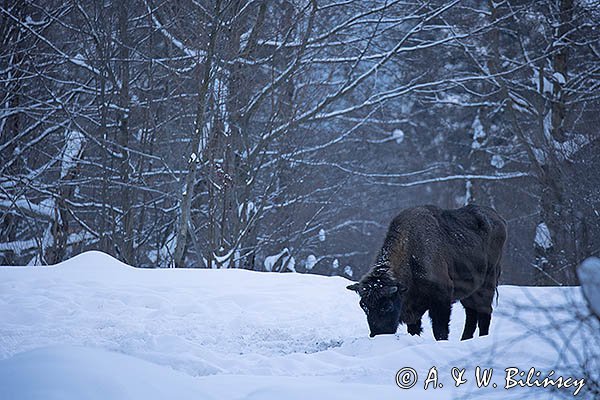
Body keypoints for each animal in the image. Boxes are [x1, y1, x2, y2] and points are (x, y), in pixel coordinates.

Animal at [346, 206, 506, 340]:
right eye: (363, 306)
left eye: (387, 306)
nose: (377, 334)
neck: (411, 256)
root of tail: (499, 219)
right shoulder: (412, 309)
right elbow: (414, 329)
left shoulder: (441, 299)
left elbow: (440, 330)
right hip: (470, 291)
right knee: (471, 314)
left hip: (487, 283)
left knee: (484, 314)